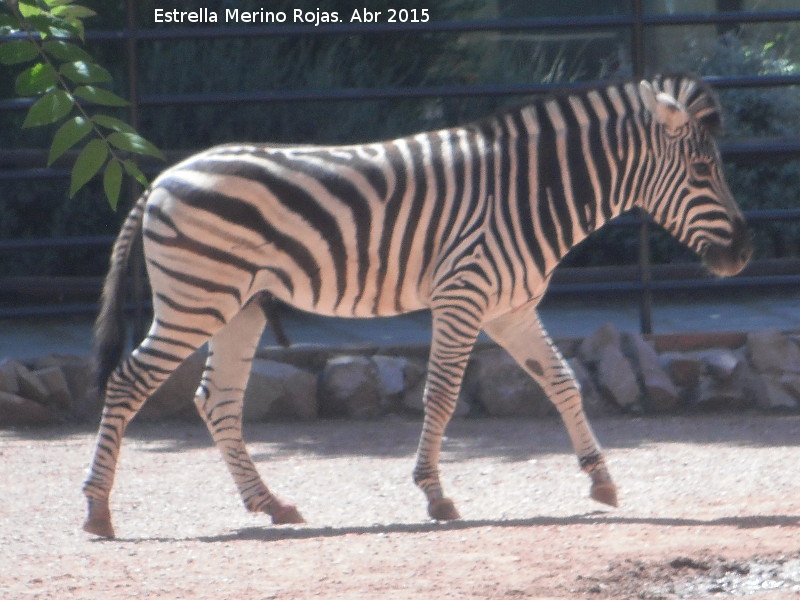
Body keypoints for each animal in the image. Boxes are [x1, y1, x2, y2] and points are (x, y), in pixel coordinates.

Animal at [84, 72, 752, 536]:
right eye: (702, 169)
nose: (743, 254)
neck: (529, 195)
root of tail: (161, 179)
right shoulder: (464, 295)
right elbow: (443, 395)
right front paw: (435, 494)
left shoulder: (510, 307)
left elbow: (563, 382)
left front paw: (602, 479)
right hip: (196, 299)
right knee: (127, 383)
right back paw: (98, 512)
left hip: (240, 305)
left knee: (216, 400)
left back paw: (270, 504)